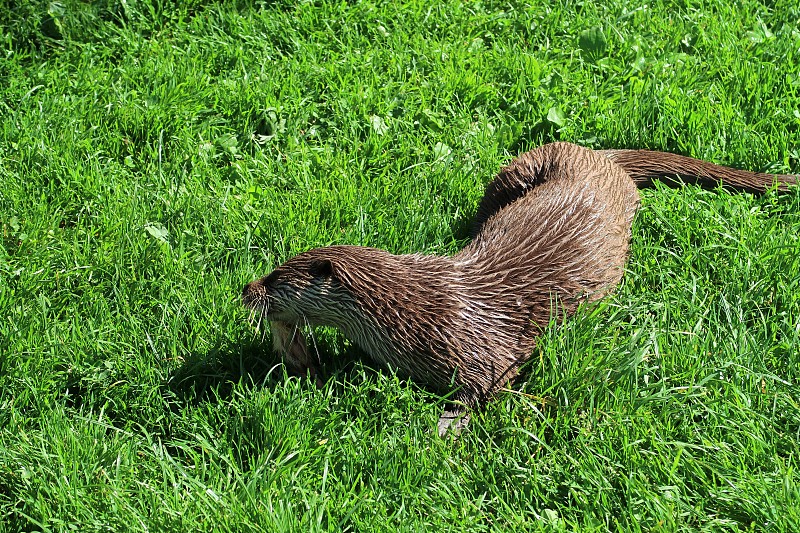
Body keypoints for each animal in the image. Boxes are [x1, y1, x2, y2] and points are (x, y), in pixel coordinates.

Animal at [241, 141, 796, 432]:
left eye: (276, 277)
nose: (246, 289)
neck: (414, 310)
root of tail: (602, 158)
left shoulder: (481, 352)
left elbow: (486, 387)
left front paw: (447, 426)